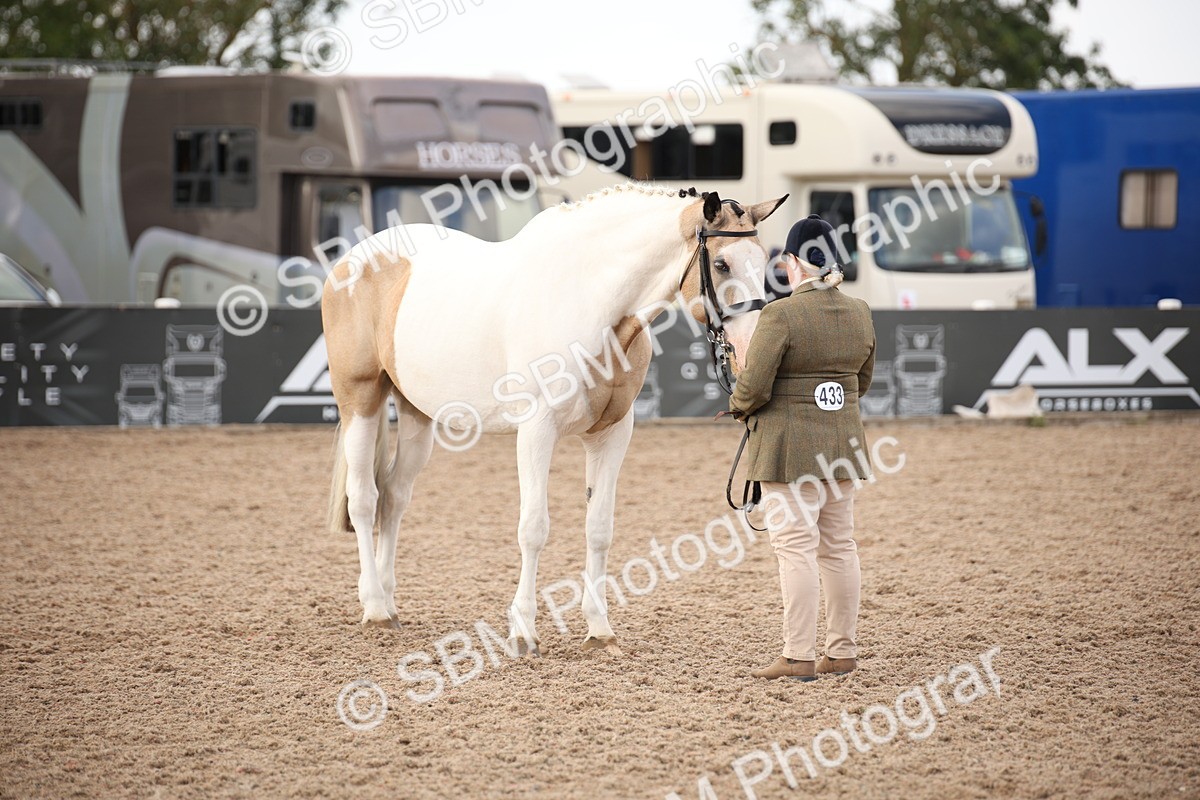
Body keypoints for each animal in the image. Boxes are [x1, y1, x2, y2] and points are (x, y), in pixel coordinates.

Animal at [320, 182, 787, 655]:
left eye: (765, 260)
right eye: (722, 263)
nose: (751, 349)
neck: (588, 300)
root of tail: (351, 259)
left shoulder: (612, 434)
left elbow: (599, 528)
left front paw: (599, 629)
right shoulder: (536, 431)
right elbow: (534, 528)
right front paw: (523, 631)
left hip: (416, 414)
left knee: (394, 496)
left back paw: (388, 600)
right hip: (360, 399)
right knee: (364, 499)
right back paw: (375, 608)